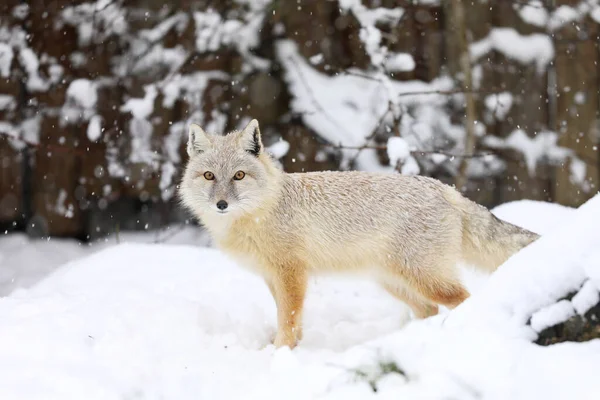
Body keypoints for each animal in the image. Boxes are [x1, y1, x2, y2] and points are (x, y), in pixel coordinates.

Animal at [178, 118, 540, 346]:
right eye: (209, 176)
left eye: (239, 176)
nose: (221, 204)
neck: (262, 212)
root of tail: (444, 187)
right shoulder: (273, 277)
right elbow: (289, 318)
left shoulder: (292, 274)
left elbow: (289, 319)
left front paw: (281, 354)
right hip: (396, 281)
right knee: (428, 310)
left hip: (426, 278)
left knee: (463, 300)